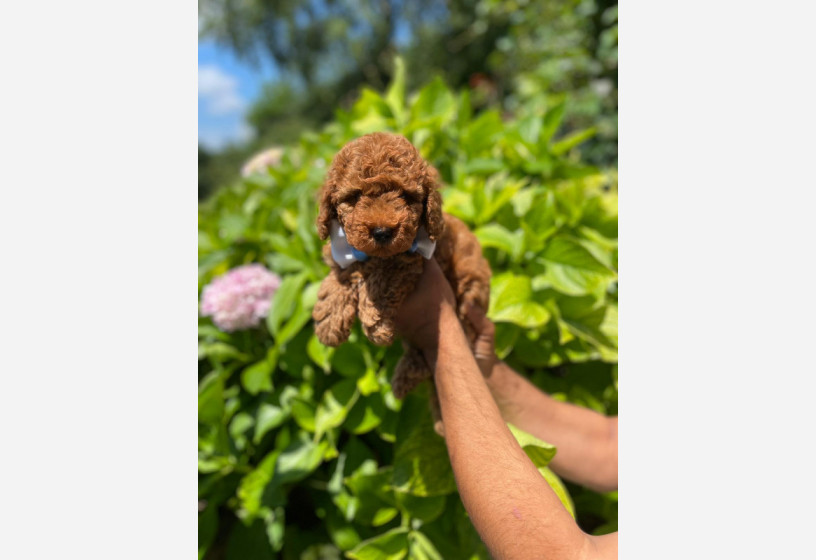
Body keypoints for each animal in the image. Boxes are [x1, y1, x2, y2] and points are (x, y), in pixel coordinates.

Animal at [312, 131, 490, 400]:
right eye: (354, 197)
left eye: (406, 196)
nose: (382, 232)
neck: (371, 255)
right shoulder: (342, 255)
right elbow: (339, 277)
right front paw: (329, 322)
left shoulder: (410, 259)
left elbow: (381, 280)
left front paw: (375, 322)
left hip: (469, 292)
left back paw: (404, 376)